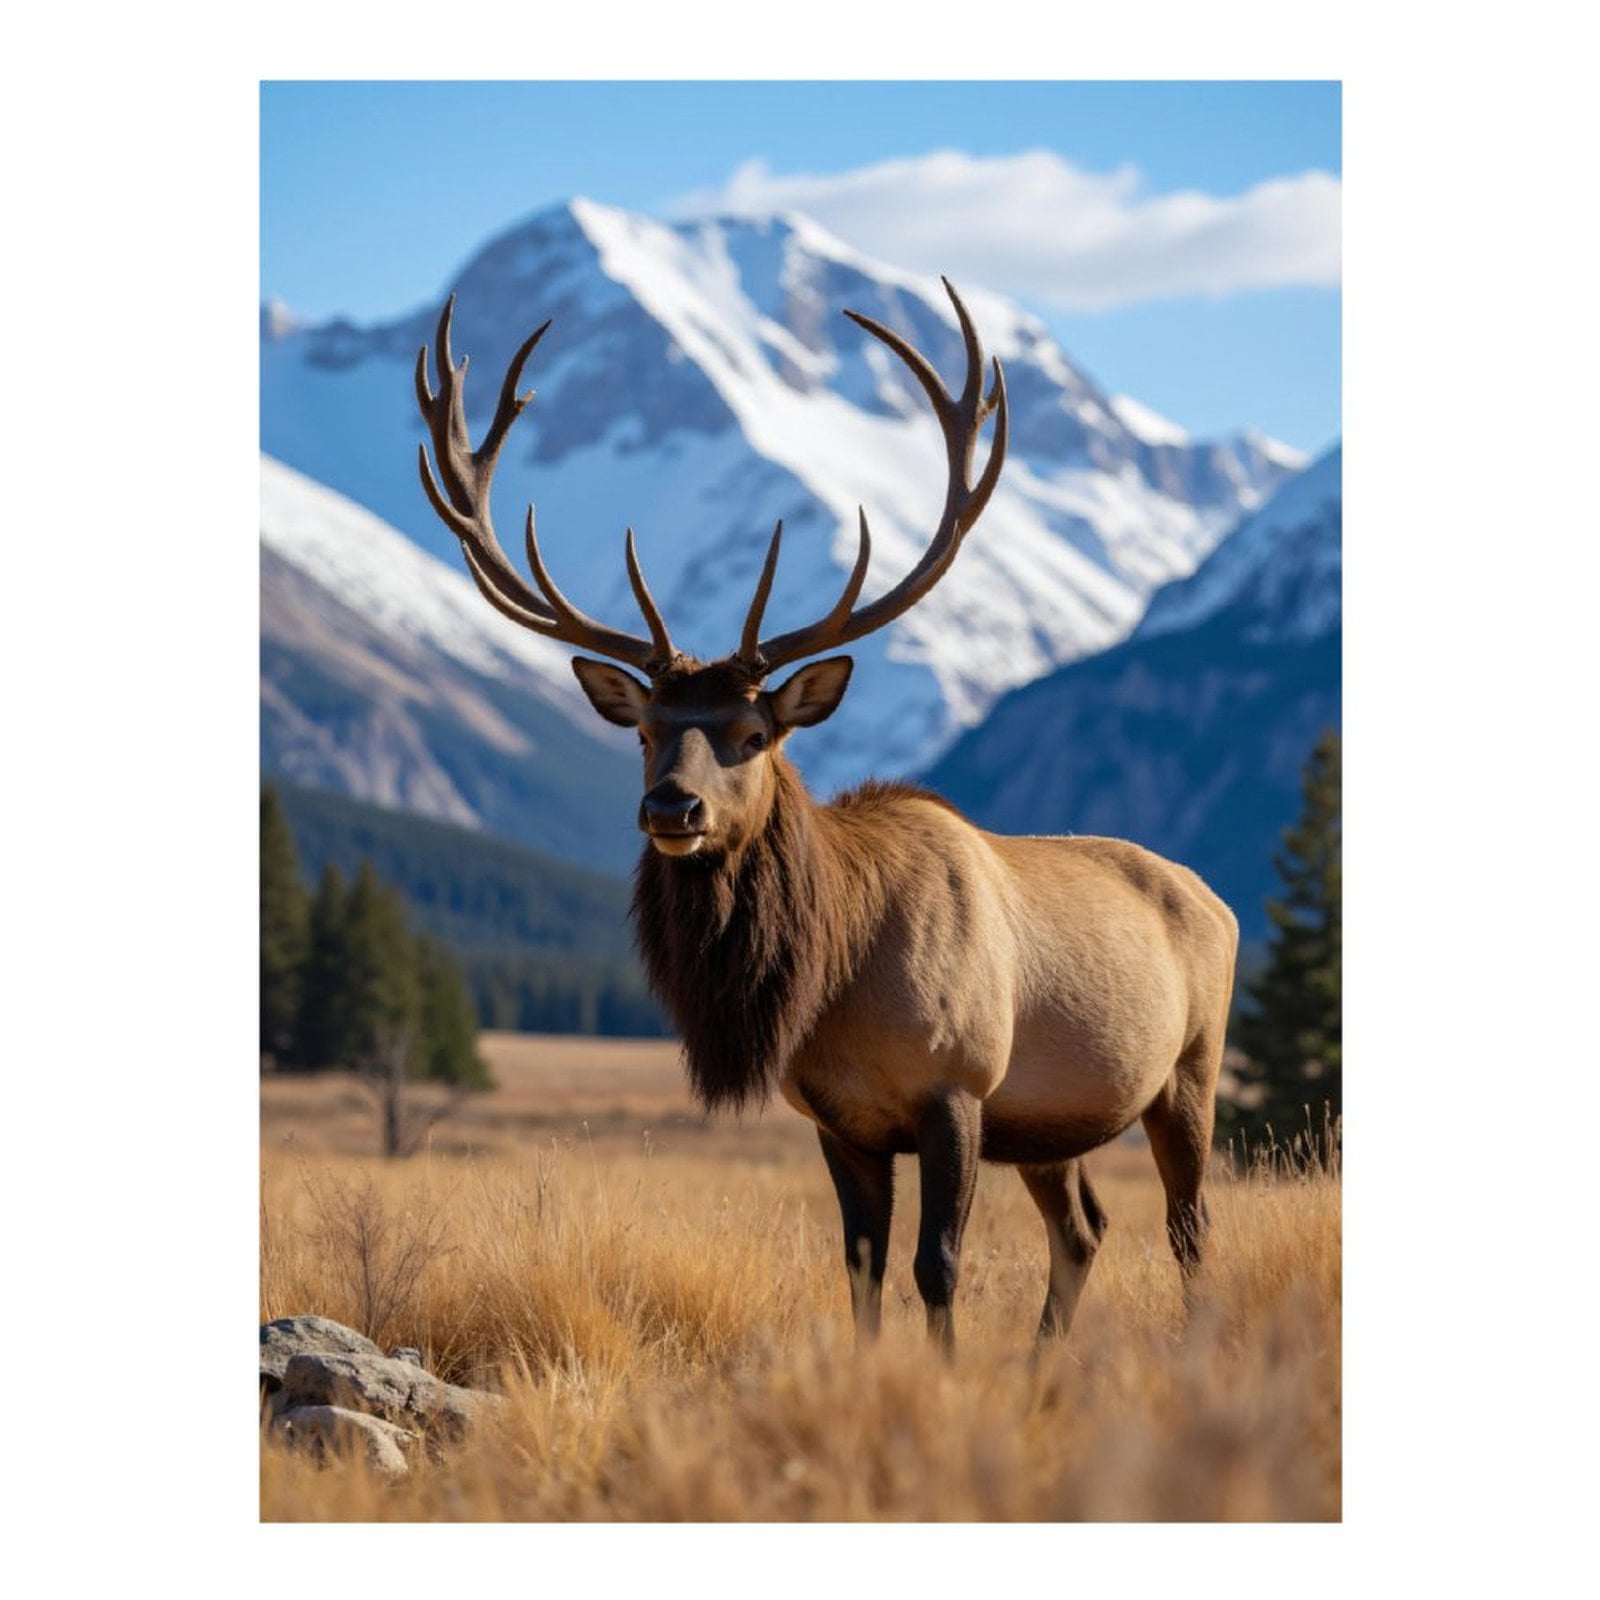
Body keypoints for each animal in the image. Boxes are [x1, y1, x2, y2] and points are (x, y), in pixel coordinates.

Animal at [414, 282, 1239, 1351]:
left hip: (1190, 1068)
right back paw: (1042, 1364)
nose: (671, 805)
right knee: (1087, 1228)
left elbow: (937, 1267)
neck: (837, 972)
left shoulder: (956, 1087)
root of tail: (1218, 901)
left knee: (1189, 1229)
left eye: (752, 732)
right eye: (644, 731)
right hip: (1050, 1124)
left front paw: (943, 1376)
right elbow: (861, 1268)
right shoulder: (840, 1122)